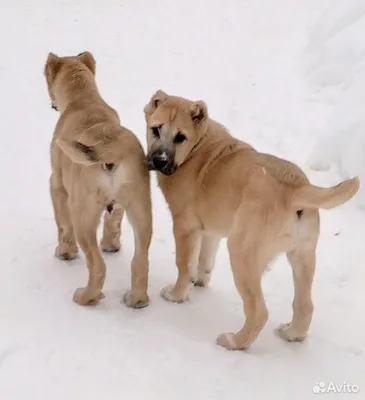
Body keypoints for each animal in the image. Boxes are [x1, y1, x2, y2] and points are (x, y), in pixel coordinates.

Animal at [44, 51, 151, 308]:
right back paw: (137, 300)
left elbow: (63, 225)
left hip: (83, 216)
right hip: (141, 212)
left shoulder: (57, 186)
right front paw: (111, 246)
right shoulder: (118, 207)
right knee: (140, 262)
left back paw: (85, 297)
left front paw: (65, 253)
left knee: (98, 266)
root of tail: (109, 146)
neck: (84, 99)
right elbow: (113, 225)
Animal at [143, 90, 358, 350]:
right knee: (305, 305)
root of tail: (296, 189)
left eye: (180, 137)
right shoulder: (209, 229)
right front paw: (200, 281)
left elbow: (184, 264)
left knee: (258, 312)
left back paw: (234, 341)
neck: (197, 146)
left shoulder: (185, 225)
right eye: (156, 130)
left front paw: (177, 294)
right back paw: (292, 334)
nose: (160, 160)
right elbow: (204, 259)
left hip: (242, 253)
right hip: (303, 256)